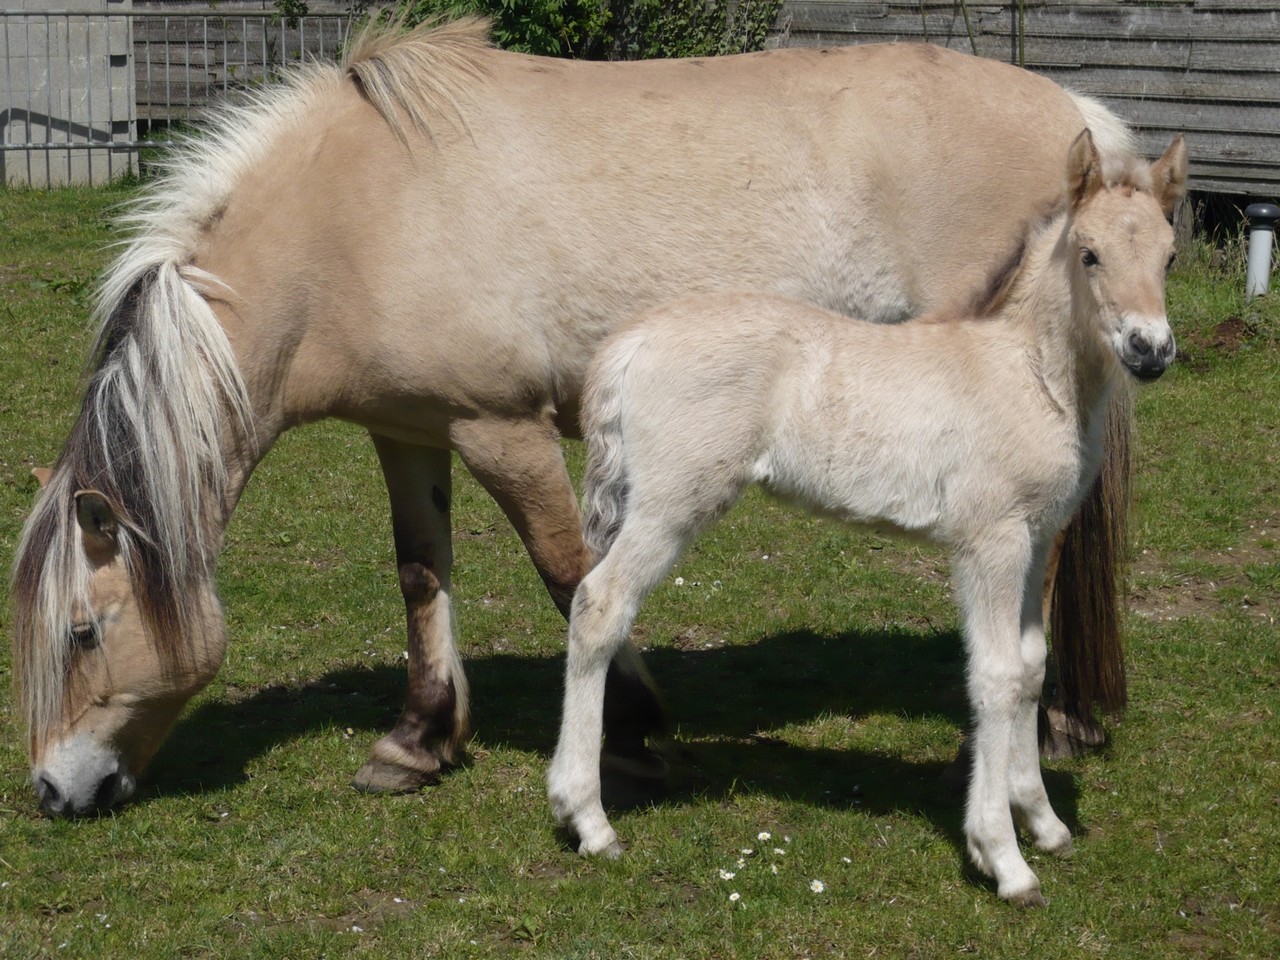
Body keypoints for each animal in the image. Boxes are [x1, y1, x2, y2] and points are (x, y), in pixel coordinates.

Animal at [10, 16, 1131, 819]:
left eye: (82, 632)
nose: (55, 793)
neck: (356, 216)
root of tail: (1073, 113)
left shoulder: (499, 430)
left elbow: (566, 571)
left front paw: (631, 732)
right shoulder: (409, 432)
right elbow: (421, 574)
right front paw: (418, 741)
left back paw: (1018, 740)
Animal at [545, 131, 1182, 906]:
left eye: (1169, 256)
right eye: (1089, 254)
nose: (1150, 350)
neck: (1027, 373)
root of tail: (632, 340)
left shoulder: (1035, 539)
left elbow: (1030, 669)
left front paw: (1044, 822)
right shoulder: (989, 541)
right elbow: (995, 677)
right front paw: (1001, 856)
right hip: (671, 503)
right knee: (599, 605)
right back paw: (589, 820)